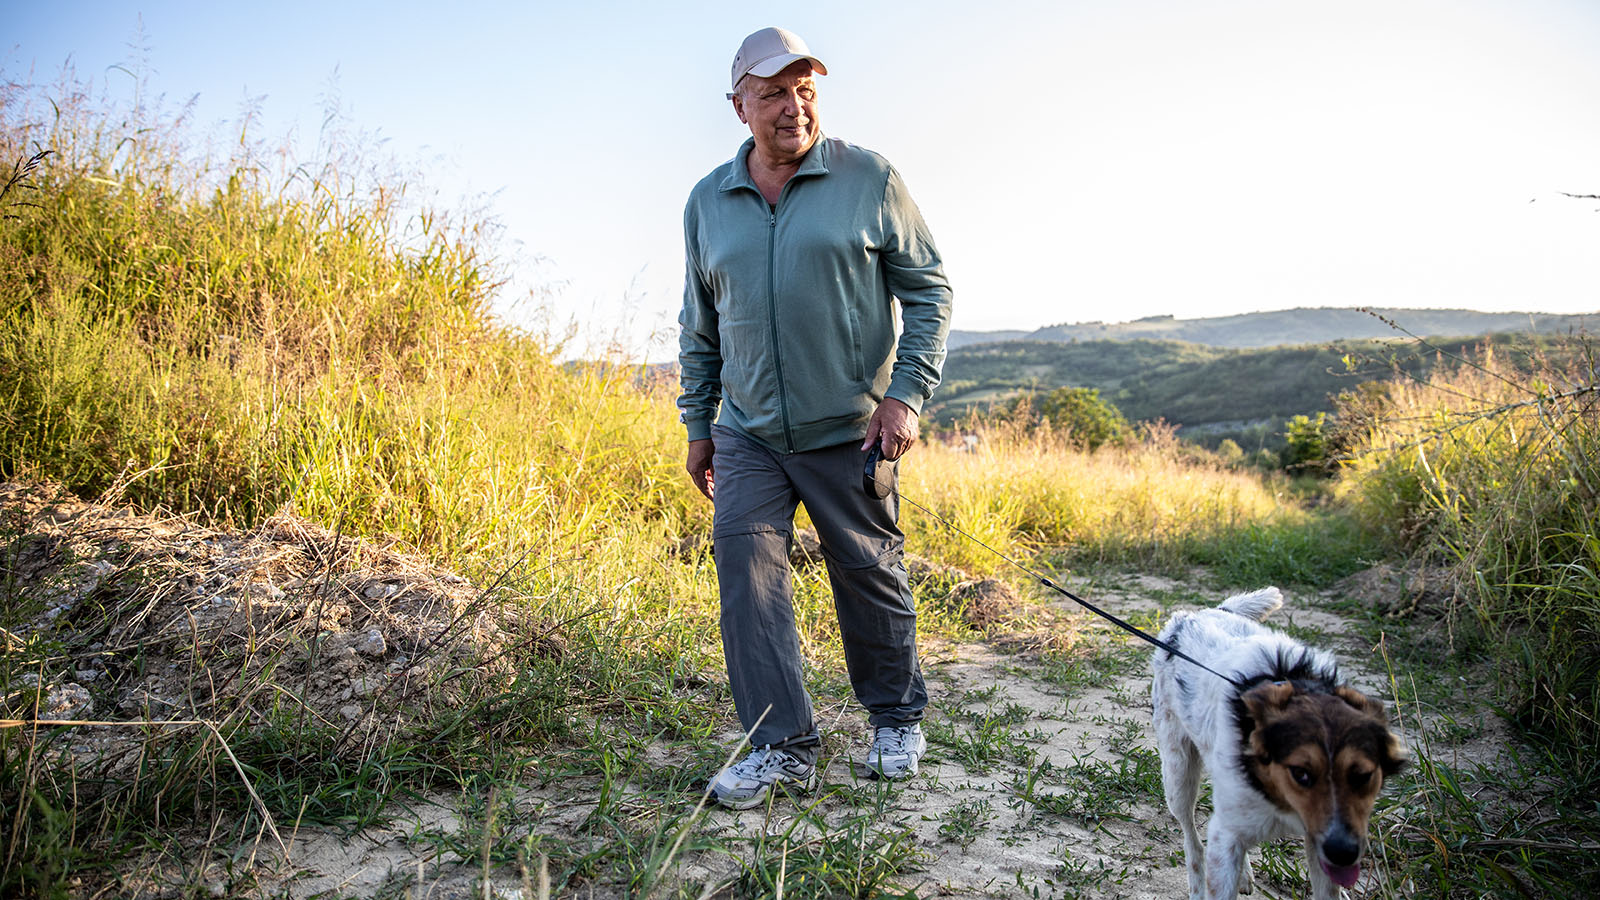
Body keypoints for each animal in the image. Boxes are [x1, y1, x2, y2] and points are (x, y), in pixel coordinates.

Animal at [1152, 586, 1401, 890]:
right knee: (1192, 839)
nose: (1344, 853)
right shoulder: (1229, 833)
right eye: (1300, 773)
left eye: (1363, 776)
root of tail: (1192, 616)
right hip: (1178, 775)